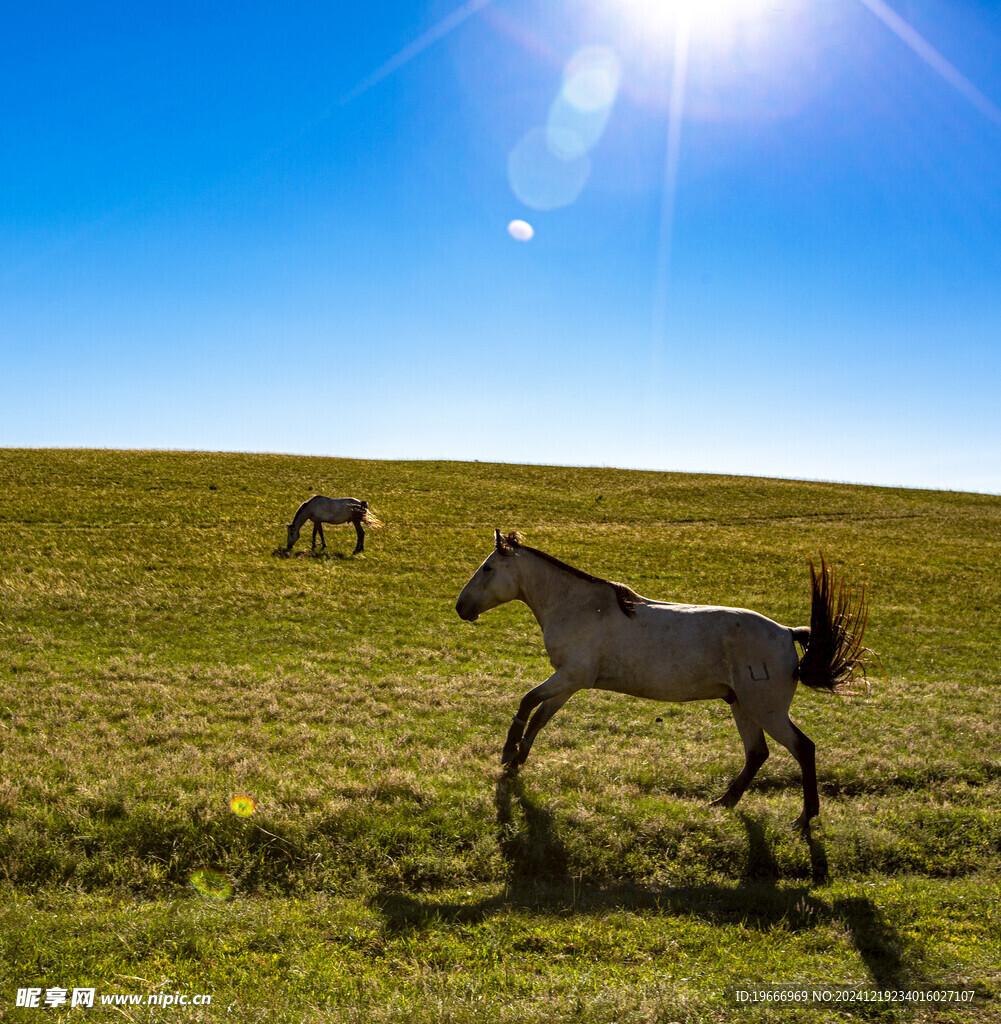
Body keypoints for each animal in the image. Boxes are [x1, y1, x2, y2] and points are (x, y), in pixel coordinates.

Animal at [456, 532, 872, 827]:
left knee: (803, 749)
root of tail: (787, 633)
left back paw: (804, 819)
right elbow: (540, 717)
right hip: (742, 705)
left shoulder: (571, 675)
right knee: (757, 754)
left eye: (488, 568)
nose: (461, 607)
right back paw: (722, 803)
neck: (578, 606)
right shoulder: (570, 682)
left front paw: (507, 756)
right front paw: (516, 762)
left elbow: (527, 702)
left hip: (766, 710)